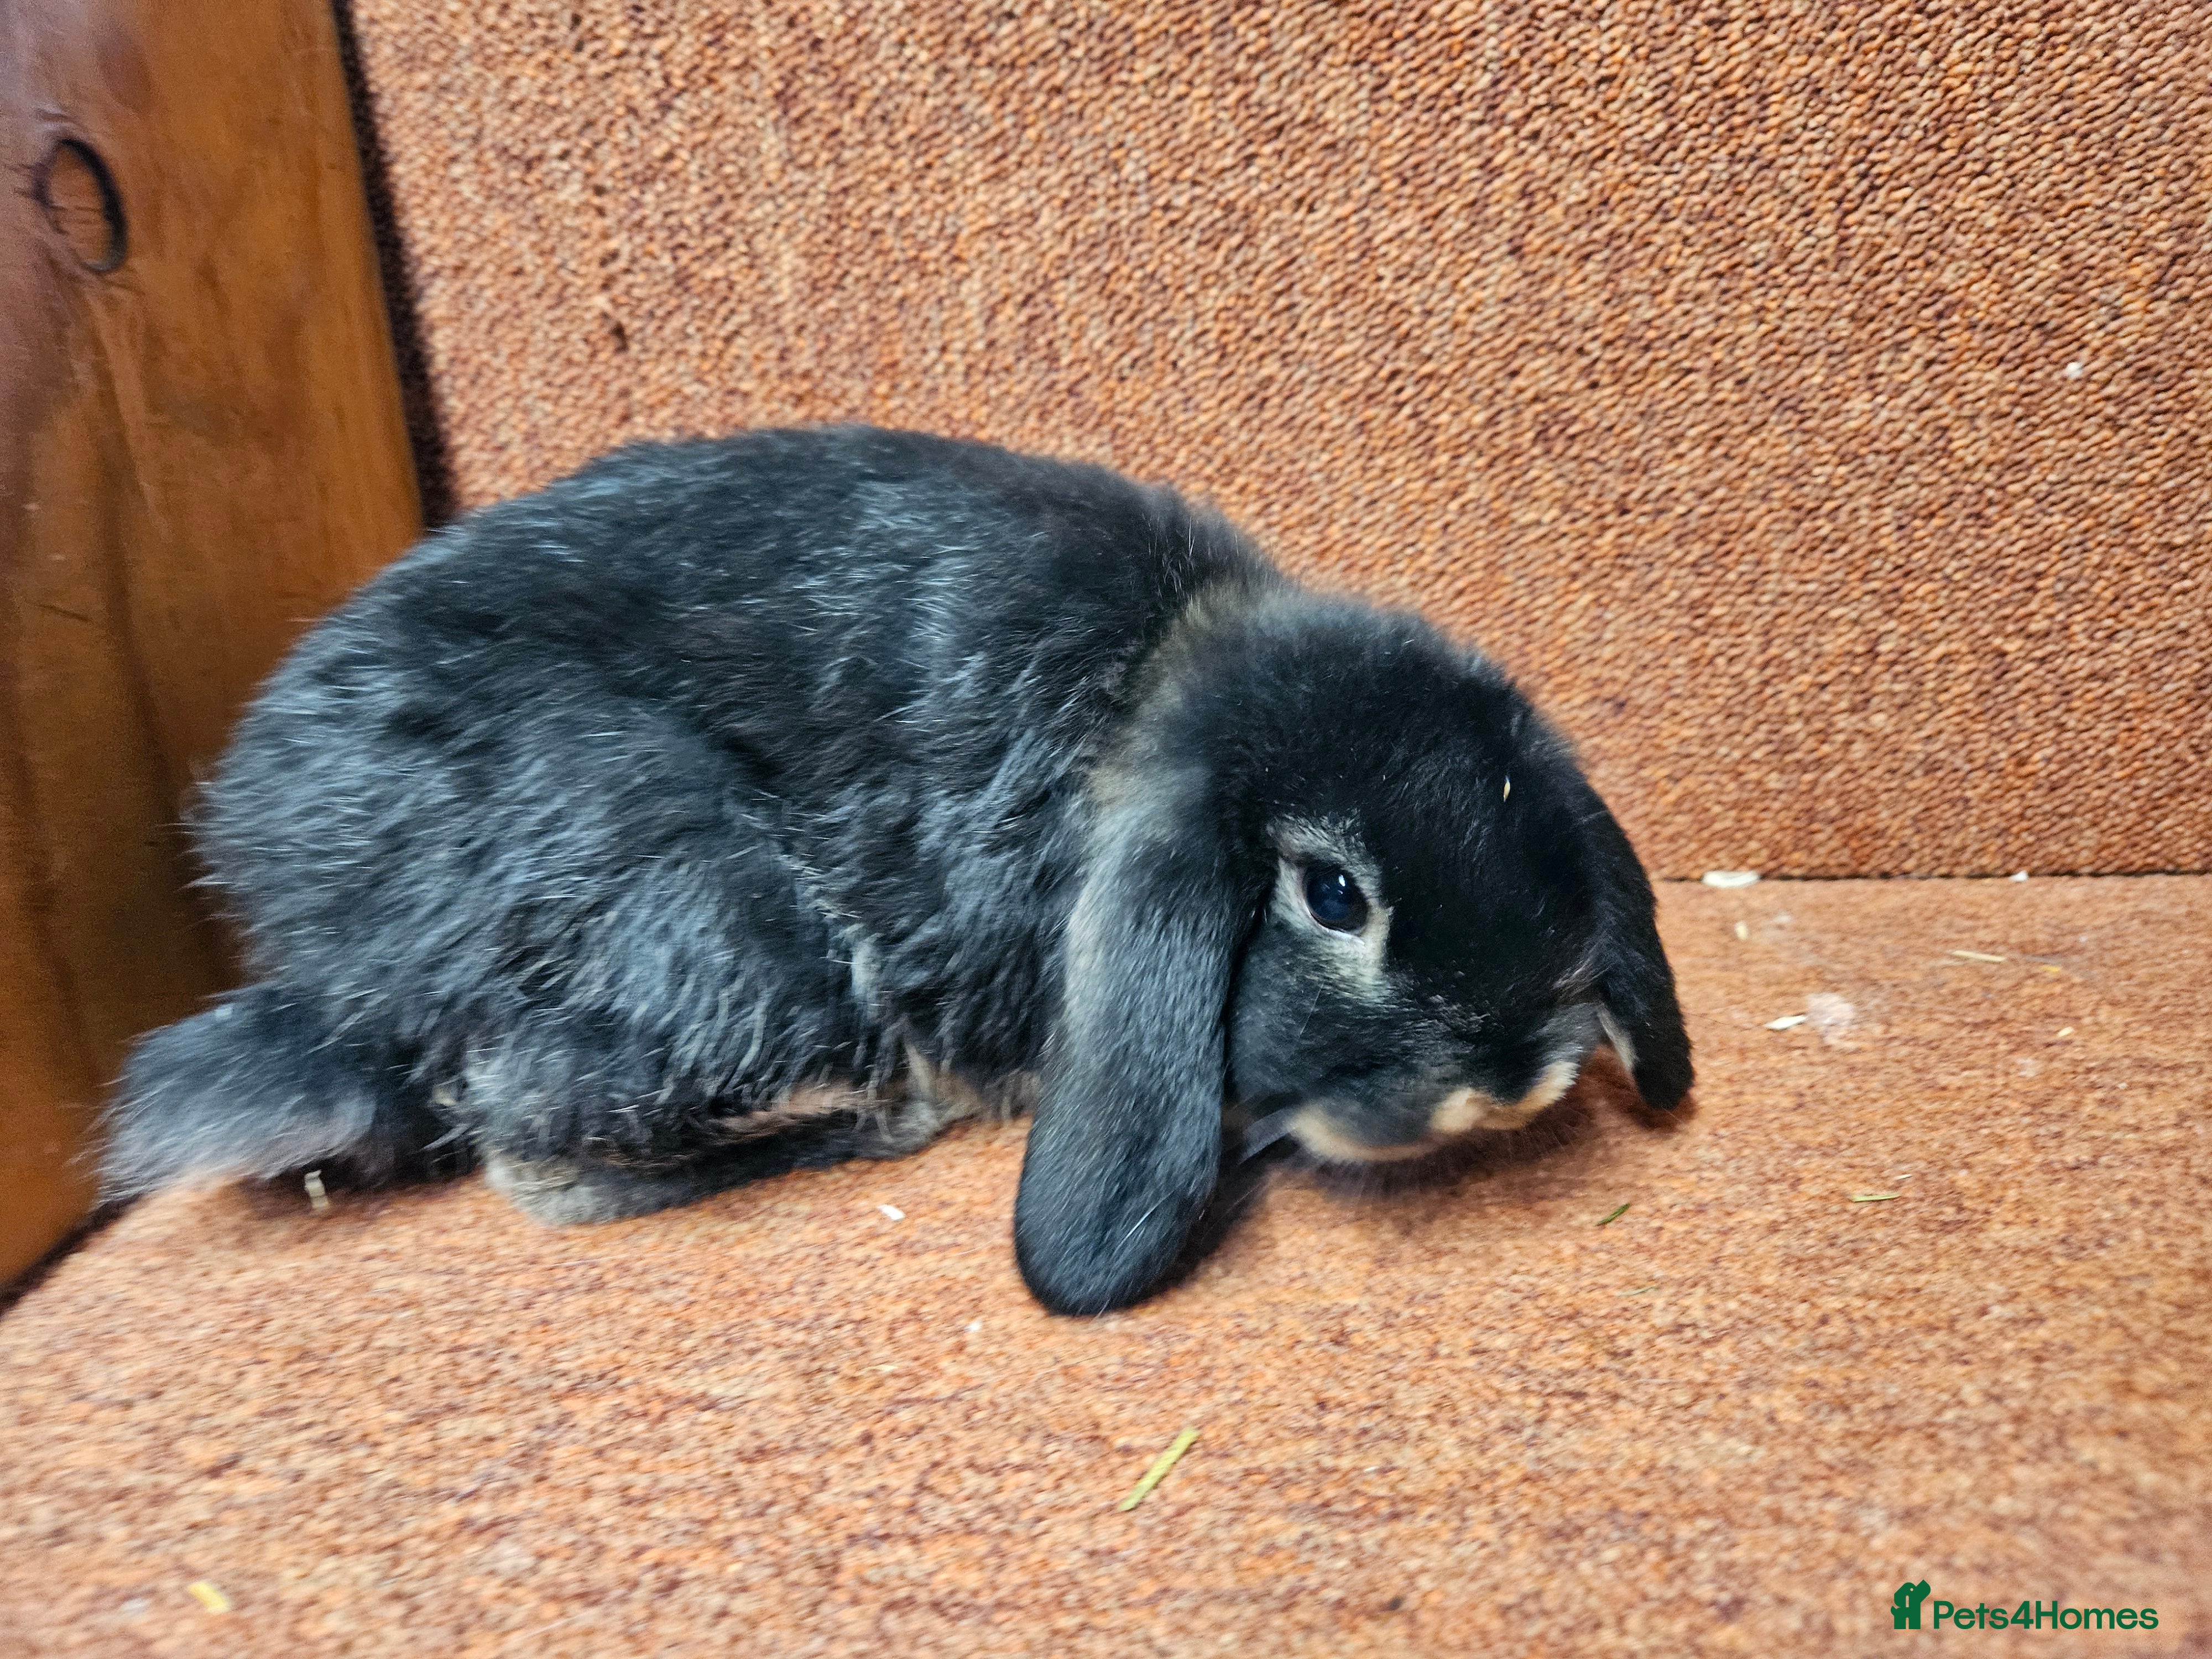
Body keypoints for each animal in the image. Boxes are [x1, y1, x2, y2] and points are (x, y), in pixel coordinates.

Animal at [98, 425, 1692, 1315]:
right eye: (1334, 895)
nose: (1514, 1079)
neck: (1151, 700)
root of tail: (330, 977)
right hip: (727, 944)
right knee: (536, 1152)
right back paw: (887, 1119)